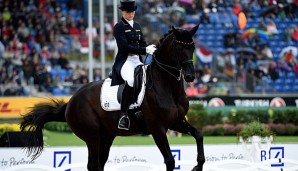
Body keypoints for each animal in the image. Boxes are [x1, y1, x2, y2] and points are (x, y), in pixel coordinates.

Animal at [20, 24, 205, 171]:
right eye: (178, 48)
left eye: (193, 47)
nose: (190, 77)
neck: (167, 87)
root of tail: (71, 101)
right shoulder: (157, 128)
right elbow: (170, 160)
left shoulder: (176, 122)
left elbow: (198, 135)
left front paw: (198, 166)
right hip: (92, 136)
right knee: (93, 165)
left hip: (106, 137)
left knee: (99, 164)